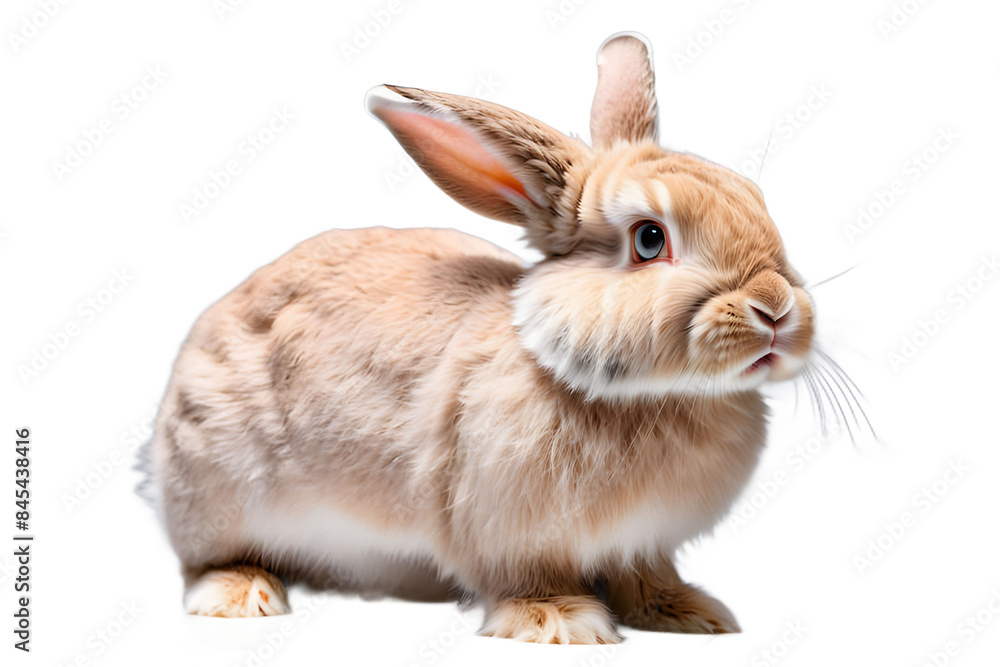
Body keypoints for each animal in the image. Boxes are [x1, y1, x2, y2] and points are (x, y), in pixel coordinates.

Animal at [144, 31, 816, 644]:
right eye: (650, 240)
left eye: (758, 201)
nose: (777, 309)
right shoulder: (506, 529)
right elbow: (528, 580)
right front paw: (561, 624)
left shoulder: (644, 543)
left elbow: (648, 577)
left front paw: (692, 615)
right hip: (215, 487)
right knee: (208, 560)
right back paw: (241, 597)